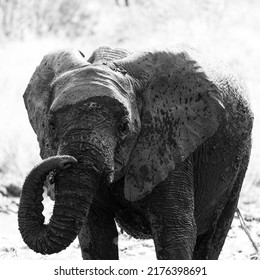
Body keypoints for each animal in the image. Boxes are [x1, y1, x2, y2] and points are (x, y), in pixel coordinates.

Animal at [17, 44, 253, 260]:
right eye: (51, 125)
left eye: (124, 127)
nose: (65, 161)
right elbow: (96, 237)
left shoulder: (168, 140)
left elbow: (175, 232)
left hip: (241, 155)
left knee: (213, 237)